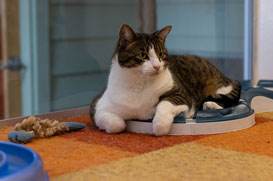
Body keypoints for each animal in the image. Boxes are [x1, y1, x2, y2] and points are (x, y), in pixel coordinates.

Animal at [88, 24, 238, 136]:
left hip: (218, 85)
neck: (140, 83)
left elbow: (164, 104)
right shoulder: (98, 105)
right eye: (143, 55)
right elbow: (117, 124)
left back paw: (211, 105)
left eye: (161, 54)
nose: (157, 66)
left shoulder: (181, 95)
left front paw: (160, 126)